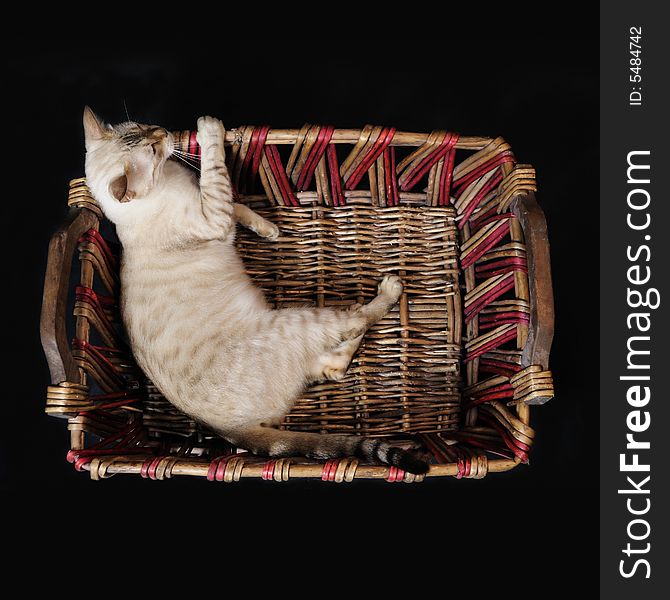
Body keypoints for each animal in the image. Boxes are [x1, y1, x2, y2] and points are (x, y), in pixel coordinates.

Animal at [84, 106, 430, 474]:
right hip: (299, 321)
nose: (163, 132)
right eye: (151, 149)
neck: (167, 180)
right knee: (354, 323)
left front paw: (268, 229)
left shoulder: (220, 210)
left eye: (144, 127)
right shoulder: (214, 215)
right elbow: (217, 172)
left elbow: (238, 205)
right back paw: (389, 290)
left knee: (335, 368)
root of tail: (231, 430)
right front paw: (209, 130)